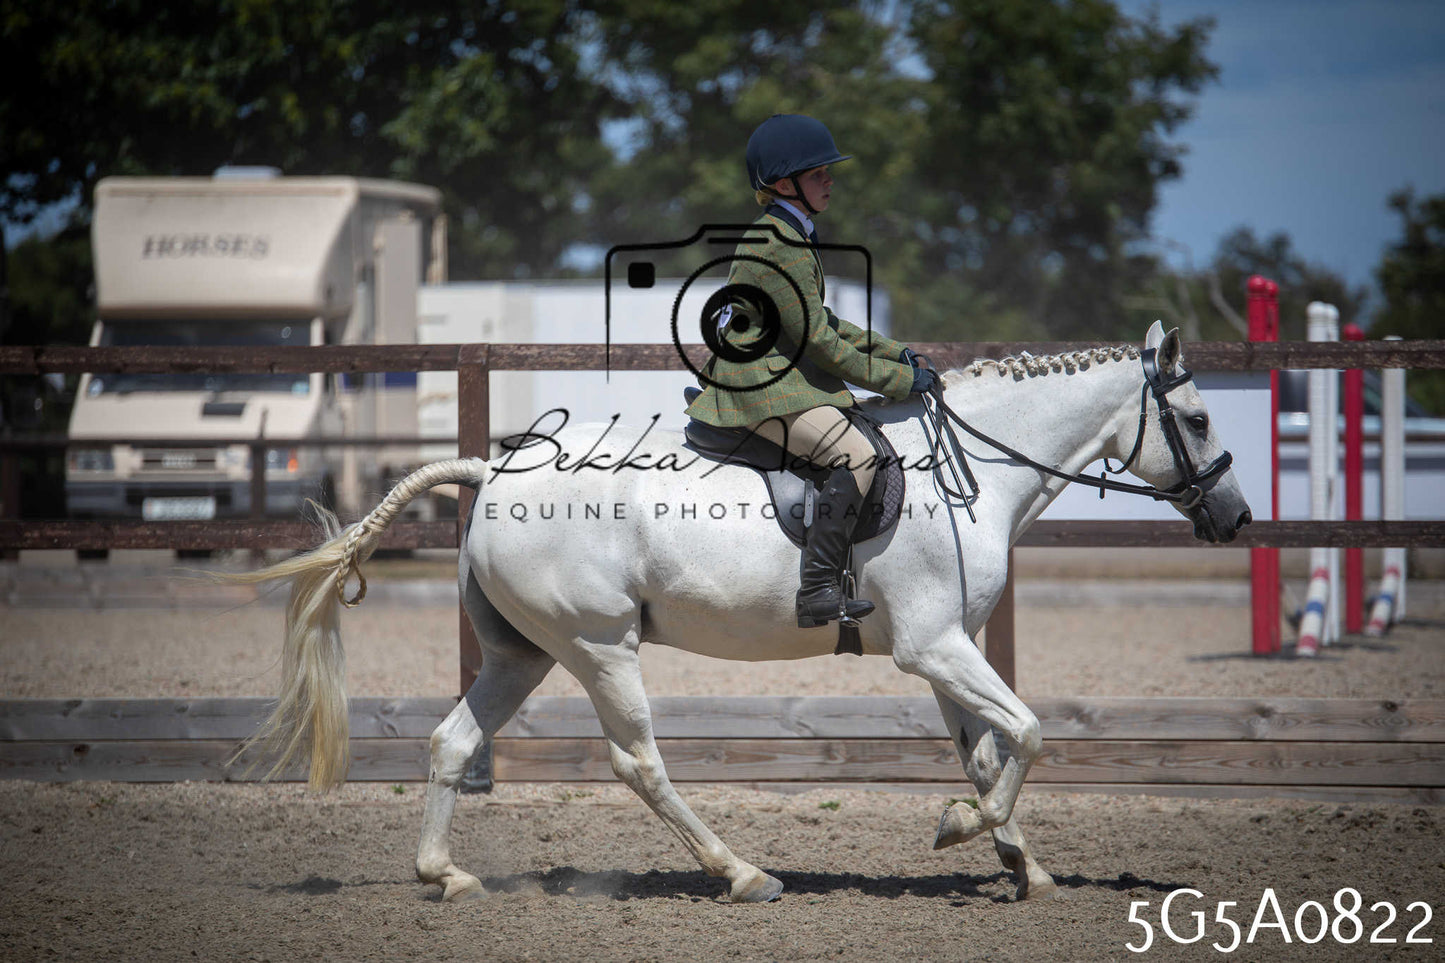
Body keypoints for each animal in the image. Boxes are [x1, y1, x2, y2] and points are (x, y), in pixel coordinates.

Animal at [229, 321, 1251, 904]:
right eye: (1199, 420)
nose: (1235, 519)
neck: (973, 471)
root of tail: (495, 469)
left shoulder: (948, 651)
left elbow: (990, 750)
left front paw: (1020, 865)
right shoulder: (932, 648)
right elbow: (1032, 732)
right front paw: (961, 830)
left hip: (524, 653)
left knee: (452, 741)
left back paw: (445, 875)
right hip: (600, 646)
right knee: (637, 761)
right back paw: (743, 872)